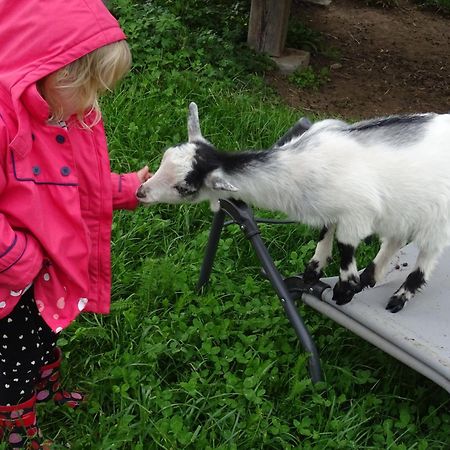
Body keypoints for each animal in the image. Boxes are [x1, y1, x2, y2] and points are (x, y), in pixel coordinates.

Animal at [136, 103, 450, 312]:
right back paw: (371, 277)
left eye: (185, 188)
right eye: (164, 157)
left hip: (438, 220)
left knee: (427, 255)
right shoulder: (332, 208)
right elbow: (326, 231)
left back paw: (399, 297)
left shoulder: (357, 213)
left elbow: (345, 245)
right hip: (405, 208)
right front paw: (314, 270)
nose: (141, 192)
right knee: (395, 238)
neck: (304, 166)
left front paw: (344, 289)